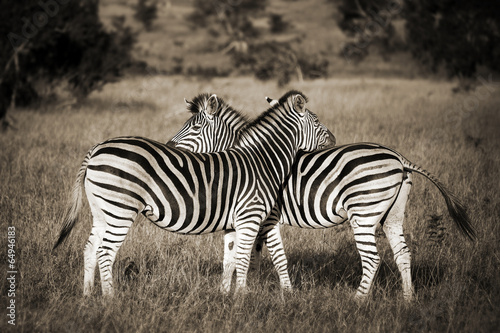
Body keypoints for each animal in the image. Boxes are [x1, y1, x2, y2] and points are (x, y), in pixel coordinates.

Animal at [52, 89, 334, 294]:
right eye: (317, 120)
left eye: (195, 128)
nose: (333, 138)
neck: (261, 160)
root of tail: (97, 148)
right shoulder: (255, 217)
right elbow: (257, 258)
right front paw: (254, 297)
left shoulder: (235, 223)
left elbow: (231, 260)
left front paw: (226, 296)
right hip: (120, 209)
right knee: (105, 252)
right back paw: (110, 300)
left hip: (103, 210)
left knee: (90, 249)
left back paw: (88, 297)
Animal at [169, 92, 476, 298]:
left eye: (195, 127)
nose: (169, 146)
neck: (254, 158)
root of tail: (400, 157)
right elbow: (246, 256)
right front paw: (239, 291)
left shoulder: (266, 217)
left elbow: (272, 256)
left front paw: (283, 295)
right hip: (392, 214)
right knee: (403, 253)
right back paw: (407, 300)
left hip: (363, 212)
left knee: (372, 258)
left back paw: (357, 302)